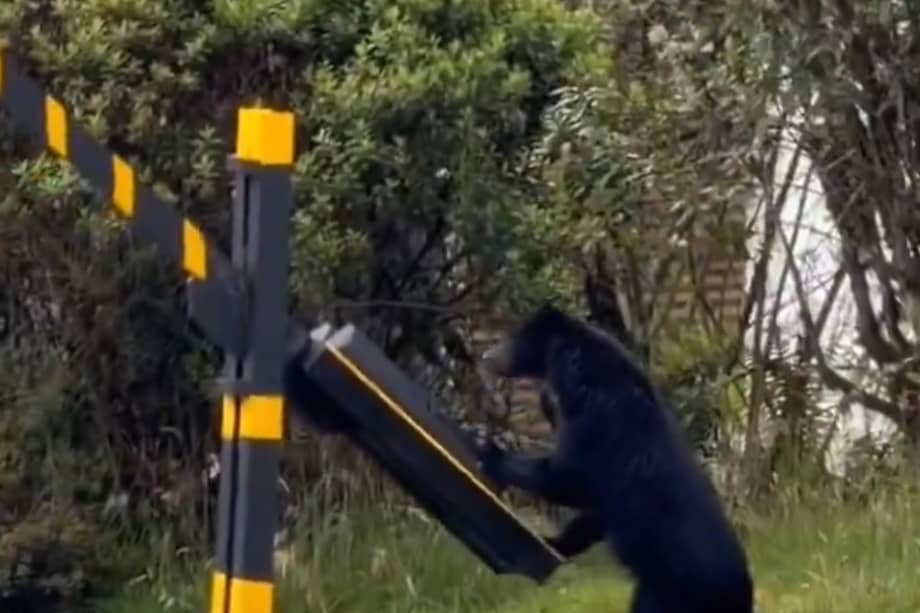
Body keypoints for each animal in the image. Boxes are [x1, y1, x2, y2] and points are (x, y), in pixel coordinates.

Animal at [477, 305, 753, 613]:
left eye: (515, 337)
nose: (486, 356)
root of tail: (741, 593)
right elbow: (591, 513)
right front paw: (555, 542)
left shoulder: (597, 428)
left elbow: (567, 479)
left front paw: (492, 453)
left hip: (668, 593)